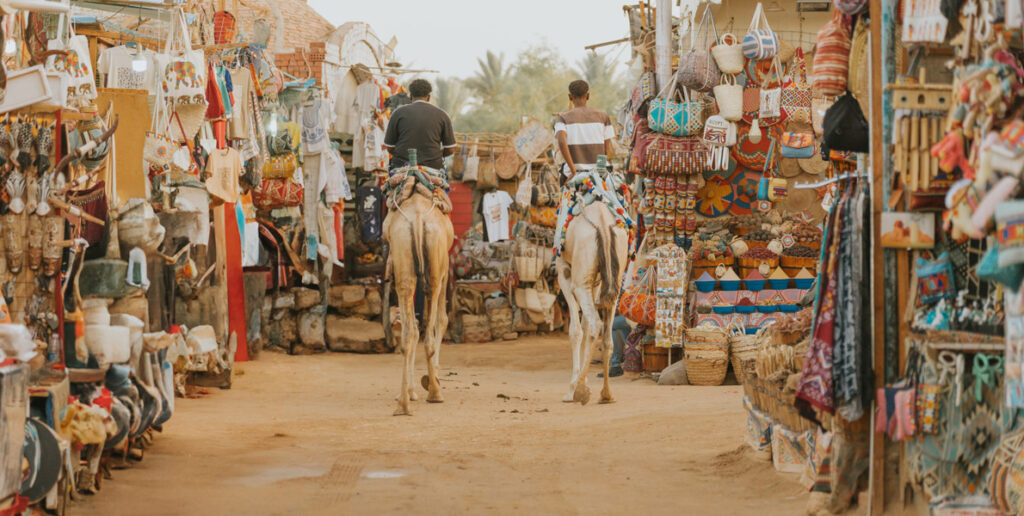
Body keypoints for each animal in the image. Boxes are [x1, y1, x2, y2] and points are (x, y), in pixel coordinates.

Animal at [383, 191, 454, 416]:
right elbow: (442, 319)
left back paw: (403, 404)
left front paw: (411, 391)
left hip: (403, 263)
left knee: (410, 332)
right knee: (428, 332)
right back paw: (435, 394)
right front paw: (434, 380)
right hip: (435, 271)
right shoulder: (445, 267)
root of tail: (417, 219)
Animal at [556, 202, 629, 405]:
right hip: (614, 284)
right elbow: (585, 327)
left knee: (595, 324)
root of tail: (603, 226)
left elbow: (576, 330)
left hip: (581, 282)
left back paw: (580, 390)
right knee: (606, 337)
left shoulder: (564, 272)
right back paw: (606, 394)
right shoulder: (594, 284)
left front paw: (573, 387)